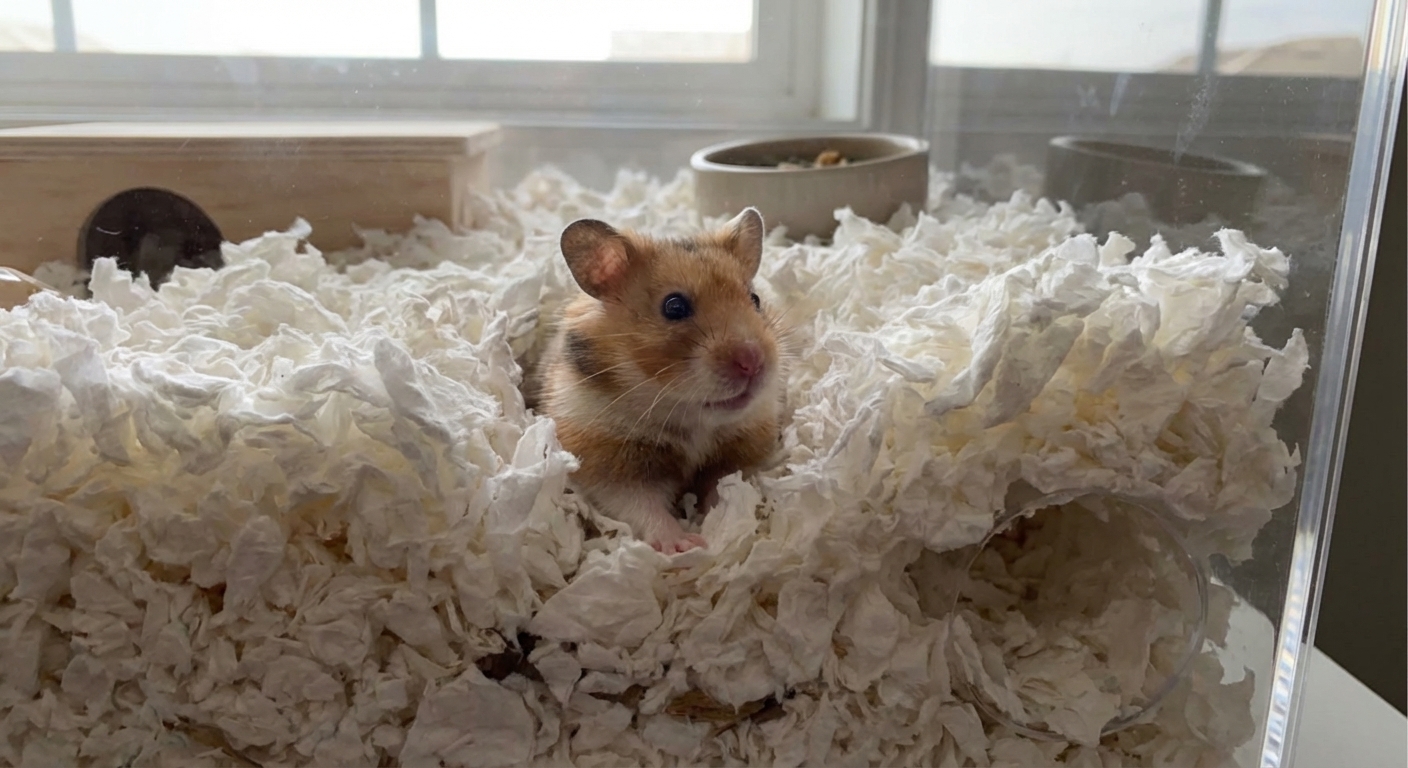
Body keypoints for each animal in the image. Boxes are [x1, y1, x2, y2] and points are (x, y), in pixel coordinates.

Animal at [538, 208, 785, 553]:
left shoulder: (741, 449)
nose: (753, 362)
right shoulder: (607, 463)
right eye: (674, 306)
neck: (689, 419)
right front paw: (685, 544)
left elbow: (723, 488)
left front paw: (722, 521)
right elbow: (643, 506)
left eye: (756, 299)